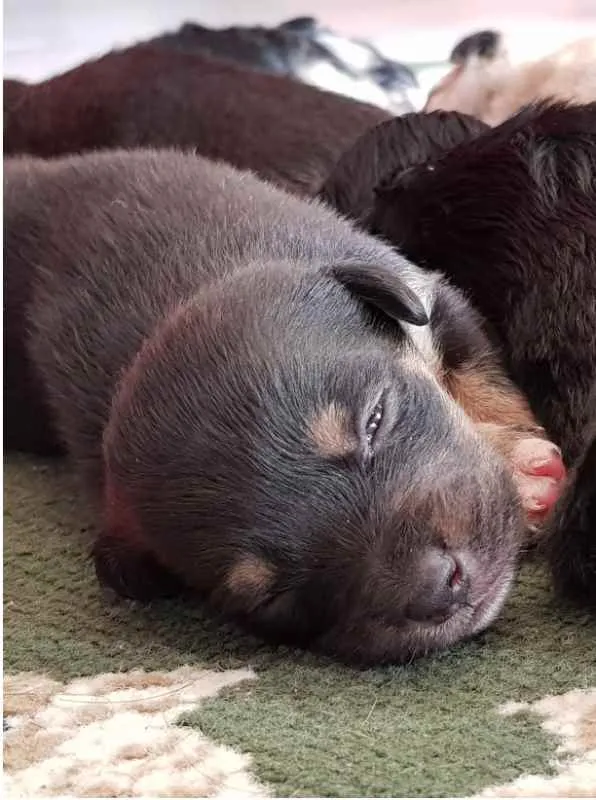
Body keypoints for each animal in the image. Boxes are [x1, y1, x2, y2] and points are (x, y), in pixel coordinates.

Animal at [4, 150, 560, 664]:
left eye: (375, 419)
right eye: (273, 598)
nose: (436, 589)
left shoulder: (429, 292)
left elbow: (480, 376)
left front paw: (523, 466)